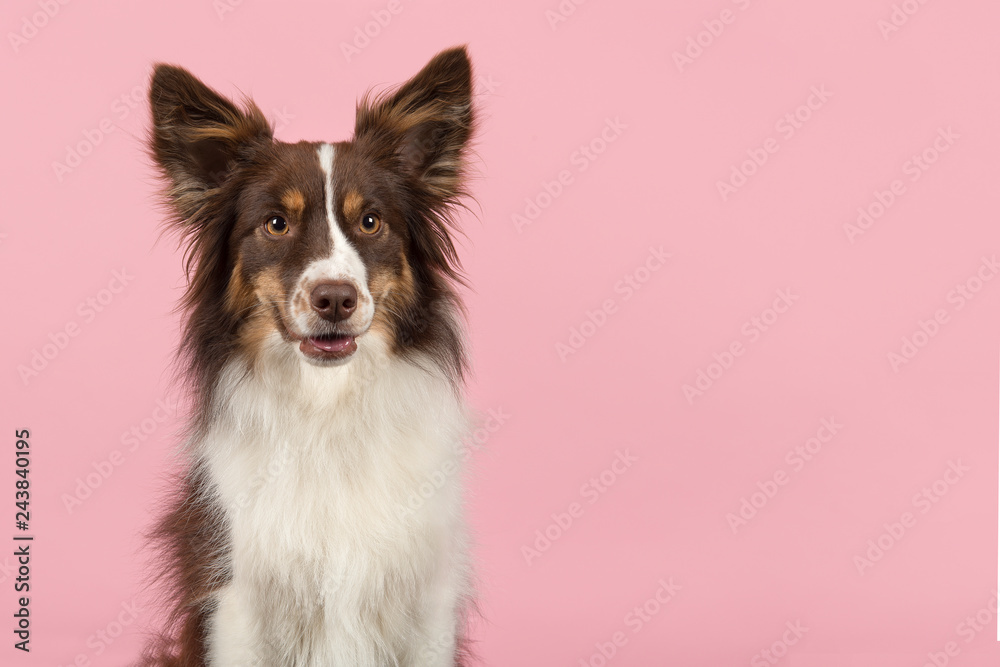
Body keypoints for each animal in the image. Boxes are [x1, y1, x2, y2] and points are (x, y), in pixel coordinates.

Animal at [142, 47, 480, 667]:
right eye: (277, 223)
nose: (335, 299)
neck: (326, 407)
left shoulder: (427, 600)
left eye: (370, 221)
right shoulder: (237, 601)